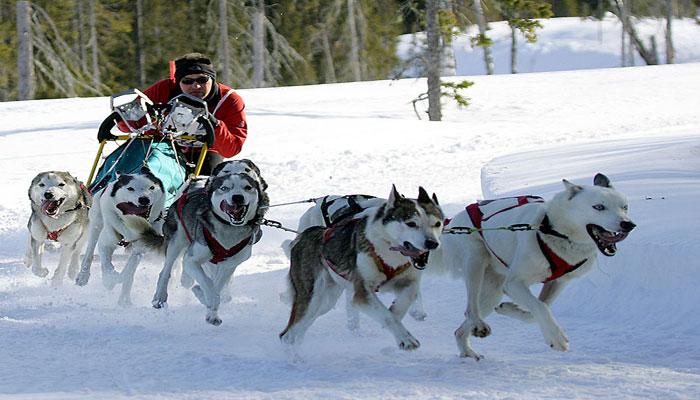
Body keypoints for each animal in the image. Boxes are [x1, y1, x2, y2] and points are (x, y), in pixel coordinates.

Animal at [75, 169, 165, 306]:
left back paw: (125, 299)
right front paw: (109, 280)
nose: (144, 199)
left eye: (152, 187)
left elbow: (128, 272)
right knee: (89, 251)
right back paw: (83, 275)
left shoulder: (139, 249)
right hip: (97, 223)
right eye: (130, 188)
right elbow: (107, 265)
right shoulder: (105, 243)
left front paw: (120, 282)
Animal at [148, 173, 266, 324]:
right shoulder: (191, 260)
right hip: (176, 242)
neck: (229, 230)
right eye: (224, 188)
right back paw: (159, 297)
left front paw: (211, 311)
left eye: (248, 187)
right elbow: (208, 284)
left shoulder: (229, 265)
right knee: (165, 271)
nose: (238, 197)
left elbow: (216, 286)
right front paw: (207, 296)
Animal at [278, 186, 442, 352]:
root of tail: (307, 234)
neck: (389, 252)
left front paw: (403, 312)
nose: (432, 243)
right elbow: (387, 316)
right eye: (411, 223)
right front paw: (405, 339)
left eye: (437, 224)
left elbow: (405, 301)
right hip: (313, 298)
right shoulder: (362, 292)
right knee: (287, 334)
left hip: (325, 301)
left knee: (296, 332)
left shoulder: (408, 281)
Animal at [440, 173, 636, 360]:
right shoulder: (514, 283)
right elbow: (540, 307)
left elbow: (537, 310)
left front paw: (511, 308)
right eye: (599, 207)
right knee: (470, 308)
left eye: (624, 207)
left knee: (460, 328)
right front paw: (557, 338)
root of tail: (455, 218)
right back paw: (478, 325)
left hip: (493, 293)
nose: (628, 224)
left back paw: (468, 351)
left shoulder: (558, 282)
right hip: (476, 262)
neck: (552, 230)